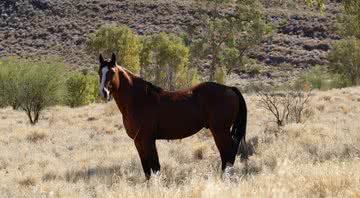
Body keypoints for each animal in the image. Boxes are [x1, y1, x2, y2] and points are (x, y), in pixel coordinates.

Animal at [98, 53, 248, 179]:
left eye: (112, 72)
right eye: (100, 72)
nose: (103, 93)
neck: (138, 99)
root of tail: (230, 89)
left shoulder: (147, 140)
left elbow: (155, 167)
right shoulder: (138, 141)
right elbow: (147, 169)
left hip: (220, 131)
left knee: (227, 153)